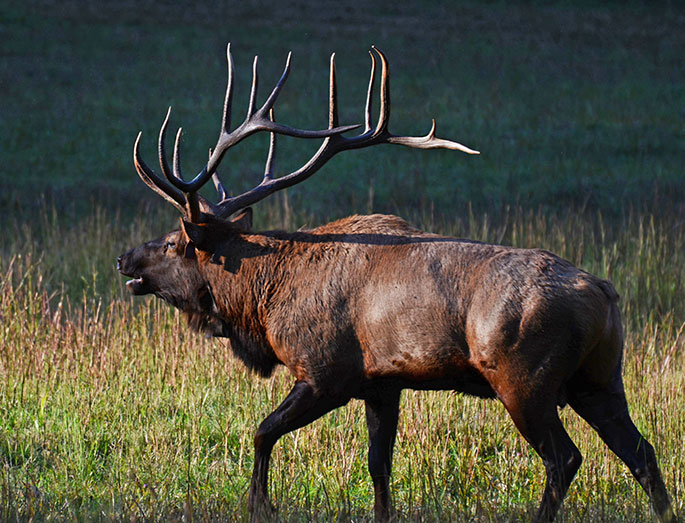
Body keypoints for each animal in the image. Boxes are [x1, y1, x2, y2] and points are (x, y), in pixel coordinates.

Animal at [116, 45, 672, 523]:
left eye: (174, 243)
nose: (124, 258)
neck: (264, 303)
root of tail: (604, 294)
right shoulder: (382, 384)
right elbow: (378, 467)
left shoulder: (326, 372)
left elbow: (262, 432)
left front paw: (260, 504)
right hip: (599, 378)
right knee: (642, 453)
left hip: (525, 379)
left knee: (566, 459)